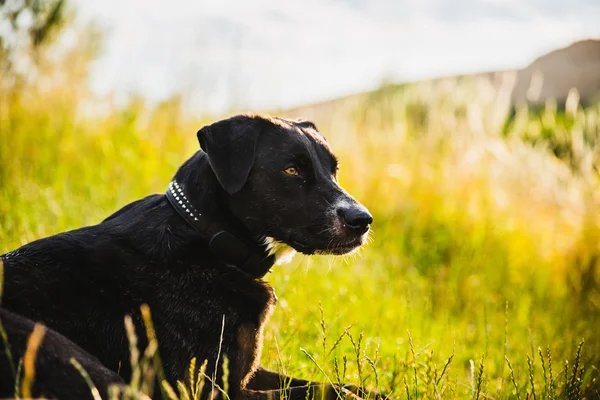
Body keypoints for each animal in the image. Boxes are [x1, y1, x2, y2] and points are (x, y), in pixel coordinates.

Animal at [0, 114, 372, 398]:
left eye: (334, 170)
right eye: (292, 170)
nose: (363, 220)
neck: (206, 238)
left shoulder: (245, 371)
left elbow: (340, 384)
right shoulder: (210, 389)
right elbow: (327, 391)